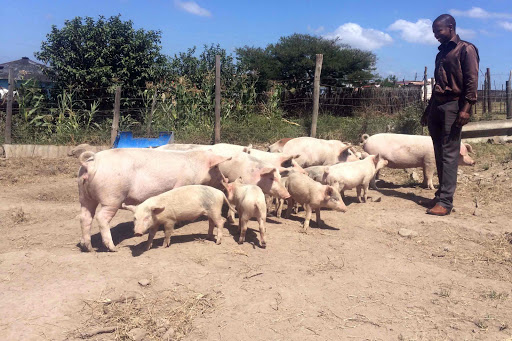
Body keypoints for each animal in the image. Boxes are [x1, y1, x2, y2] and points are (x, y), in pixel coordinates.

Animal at [78, 147, 232, 251]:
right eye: (216, 167)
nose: (226, 180)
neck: (196, 165)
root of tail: (90, 164)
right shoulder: (183, 182)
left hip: (84, 196)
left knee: (85, 217)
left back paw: (87, 247)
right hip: (112, 197)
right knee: (101, 217)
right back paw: (113, 248)